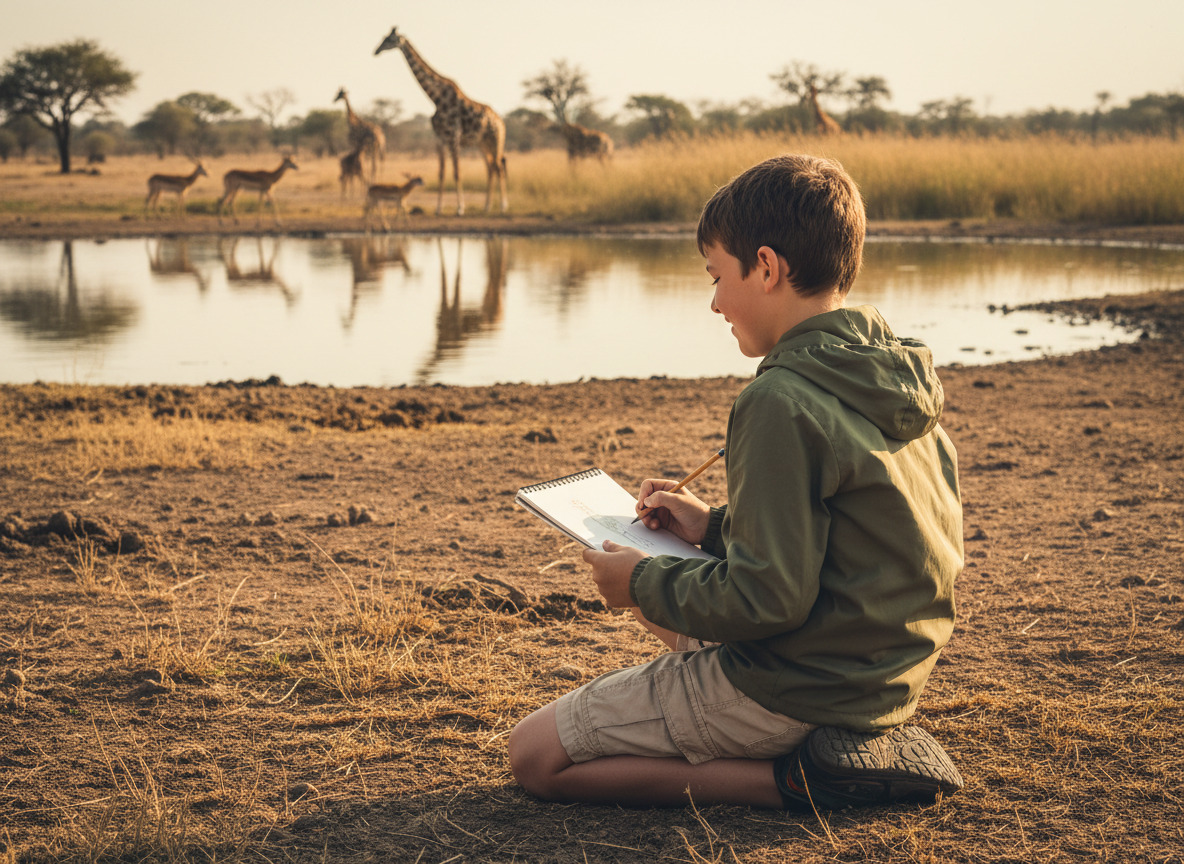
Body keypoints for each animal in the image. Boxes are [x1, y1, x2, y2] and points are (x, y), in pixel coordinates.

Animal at [374, 27, 508, 216]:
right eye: (384, 38)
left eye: (390, 39)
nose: (376, 51)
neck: (436, 98)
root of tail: (501, 122)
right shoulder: (440, 140)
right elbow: (441, 173)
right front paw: (438, 209)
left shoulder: (454, 138)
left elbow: (457, 173)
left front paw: (460, 208)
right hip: (482, 144)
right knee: (490, 168)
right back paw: (486, 207)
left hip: (496, 140)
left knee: (499, 168)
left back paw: (503, 206)